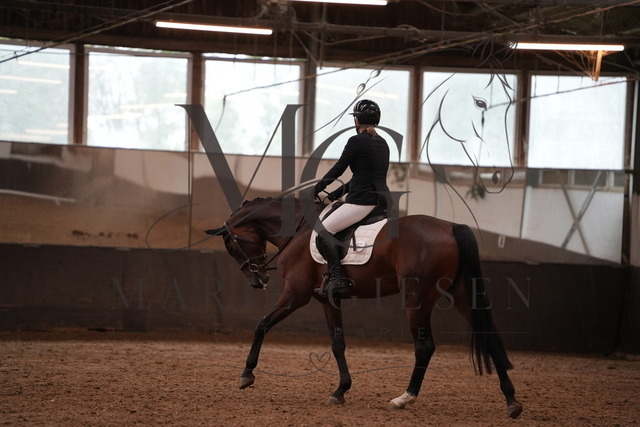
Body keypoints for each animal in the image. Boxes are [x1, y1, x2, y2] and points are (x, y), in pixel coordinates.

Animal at [206, 196, 523, 418]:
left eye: (231, 246)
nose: (259, 279)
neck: (299, 231)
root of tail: (451, 227)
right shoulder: (327, 299)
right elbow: (337, 344)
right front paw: (340, 390)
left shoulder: (296, 295)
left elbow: (262, 324)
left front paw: (247, 374)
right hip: (459, 292)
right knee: (488, 337)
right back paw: (511, 402)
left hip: (418, 298)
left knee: (425, 347)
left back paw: (404, 398)